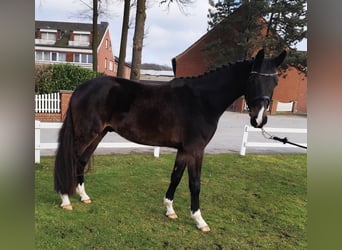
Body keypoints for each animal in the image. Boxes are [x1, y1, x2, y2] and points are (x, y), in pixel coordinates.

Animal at [54, 49, 288, 231]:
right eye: (252, 79)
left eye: (275, 81)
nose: (259, 119)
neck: (203, 100)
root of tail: (80, 88)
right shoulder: (196, 150)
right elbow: (195, 183)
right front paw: (199, 220)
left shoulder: (184, 150)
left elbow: (175, 177)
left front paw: (169, 210)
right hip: (86, 134)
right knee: (71, 160)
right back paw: (65, 199)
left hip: (98, 134)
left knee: (81, 161)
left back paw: (83, 196)